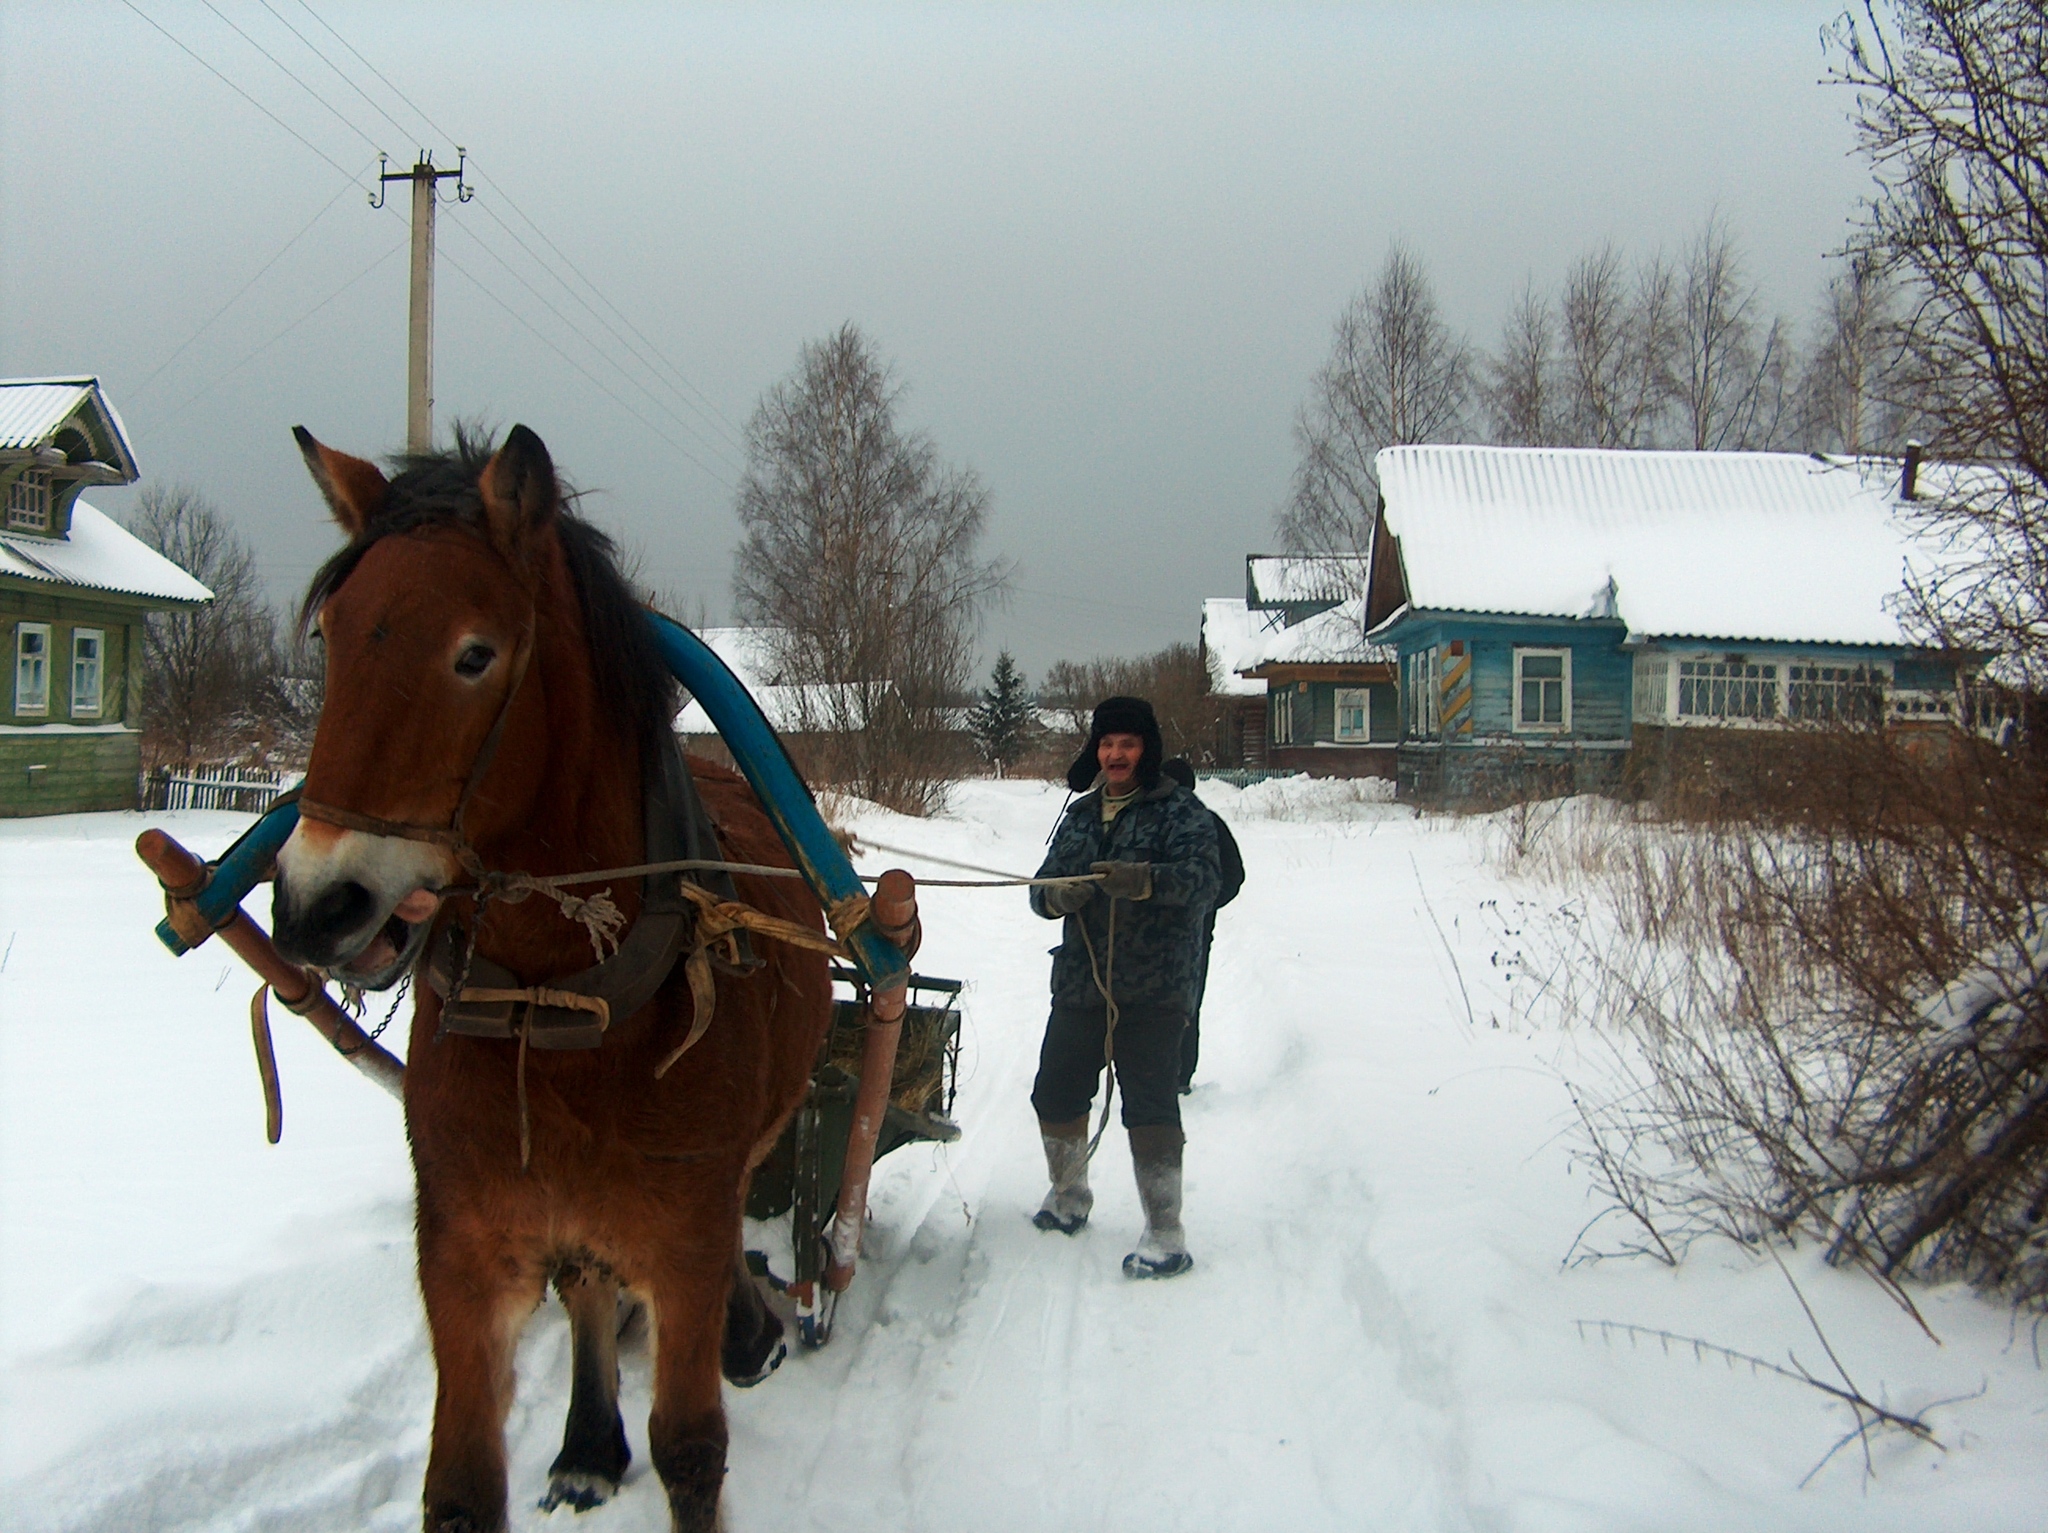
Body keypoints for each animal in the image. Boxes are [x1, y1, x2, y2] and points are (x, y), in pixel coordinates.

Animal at [272, 421, 831, 1530]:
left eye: (474, 654)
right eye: (333, 638)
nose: (317, 906)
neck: (559, 999)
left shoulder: (684, 1232)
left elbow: (691, 1447)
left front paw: (725, 1348)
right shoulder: (461, 1243)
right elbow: (458, 1481)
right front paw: (582, 1440)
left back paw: (746, 1327)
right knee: (582, 1282)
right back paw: (585, 1442)